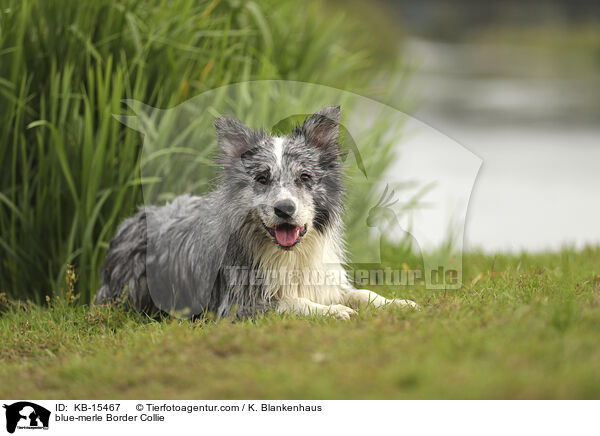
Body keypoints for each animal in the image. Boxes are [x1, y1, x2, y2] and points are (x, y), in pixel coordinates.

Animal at [96, 104, 420, 316]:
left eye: (304, 177)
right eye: (262, 179)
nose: (284, 209)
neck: (288, 255)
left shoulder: (324, 279)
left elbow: (363, 293)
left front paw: (398, 303)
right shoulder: (239, 303)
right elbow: (292, 303)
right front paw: (333, 311)